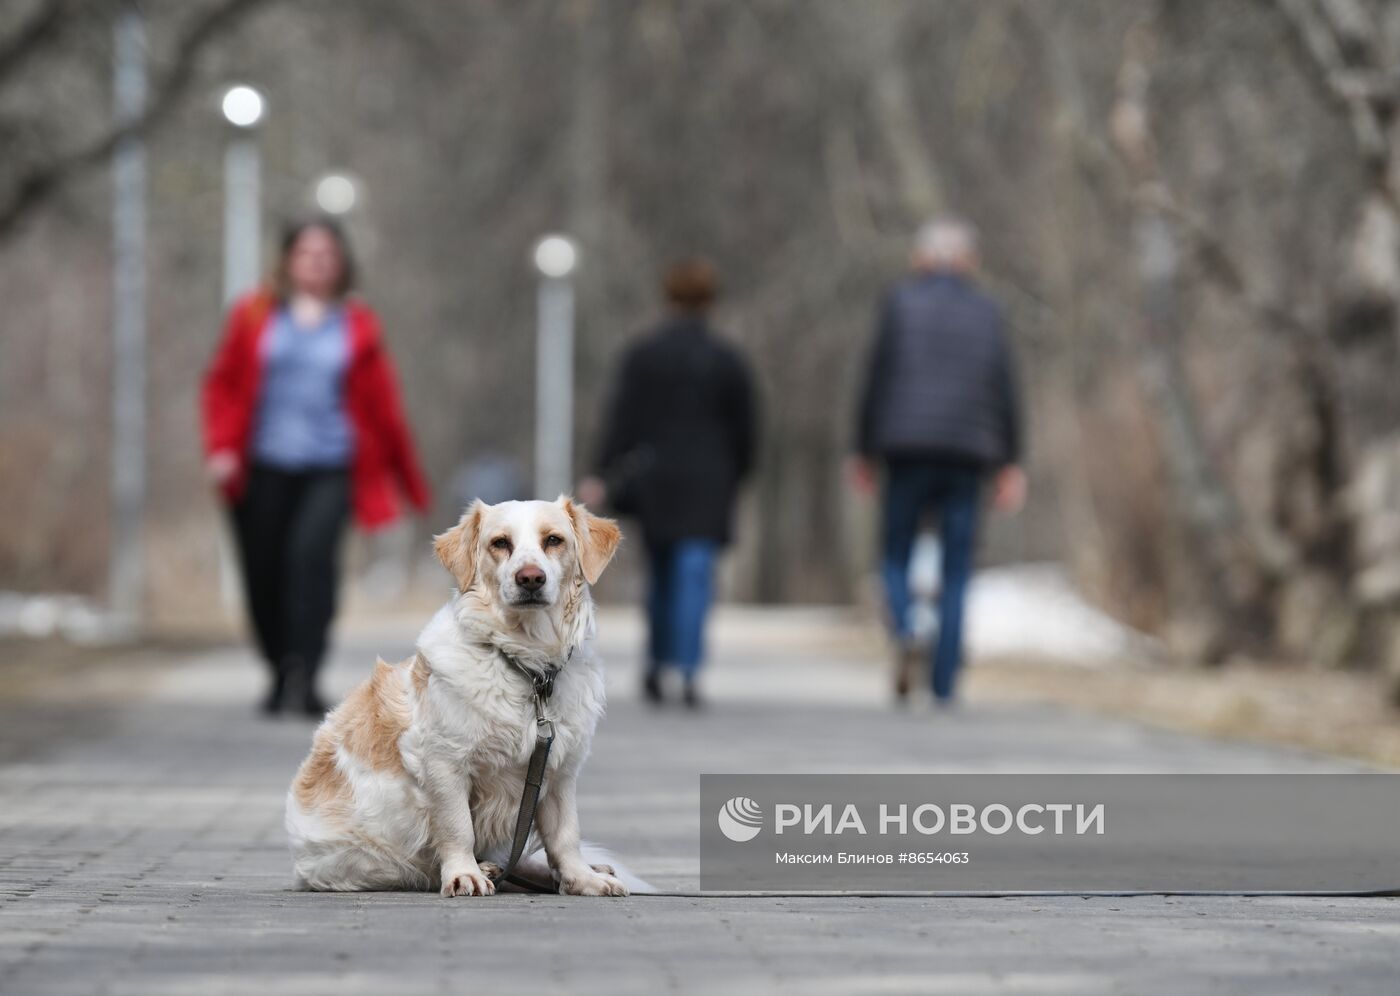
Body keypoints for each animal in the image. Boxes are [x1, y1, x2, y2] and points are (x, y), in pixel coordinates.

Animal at [285, 495, 635, 896]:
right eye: (500, 543)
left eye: (553, 540)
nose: (530, 577)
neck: (526, 666)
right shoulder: (445, 764)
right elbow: (458, 828)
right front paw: (464, 874)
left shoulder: (560, 771)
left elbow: (565, 835)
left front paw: (581, 878)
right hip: (371, 861)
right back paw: (487, 868)